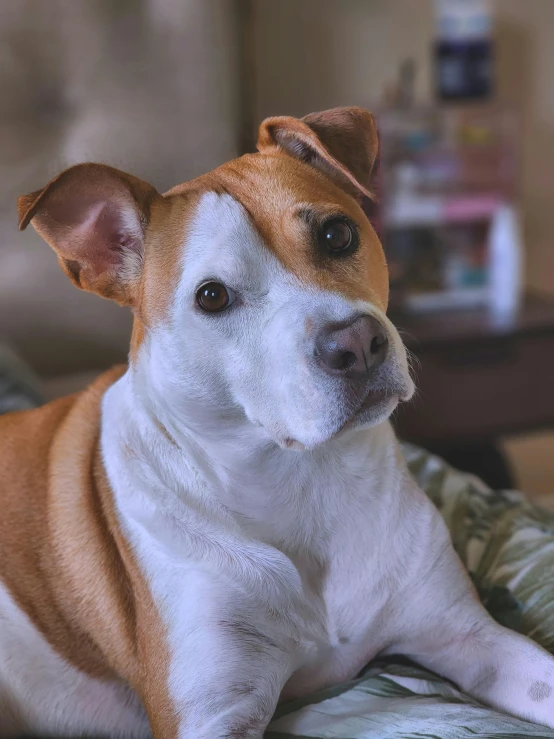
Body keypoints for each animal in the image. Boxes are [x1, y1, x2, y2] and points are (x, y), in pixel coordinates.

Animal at [1, 107, 552, 736]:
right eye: (212, 297)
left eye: (337, 234)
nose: (356, 344)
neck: (303, 480)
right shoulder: (213, 713)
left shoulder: (469, 636)